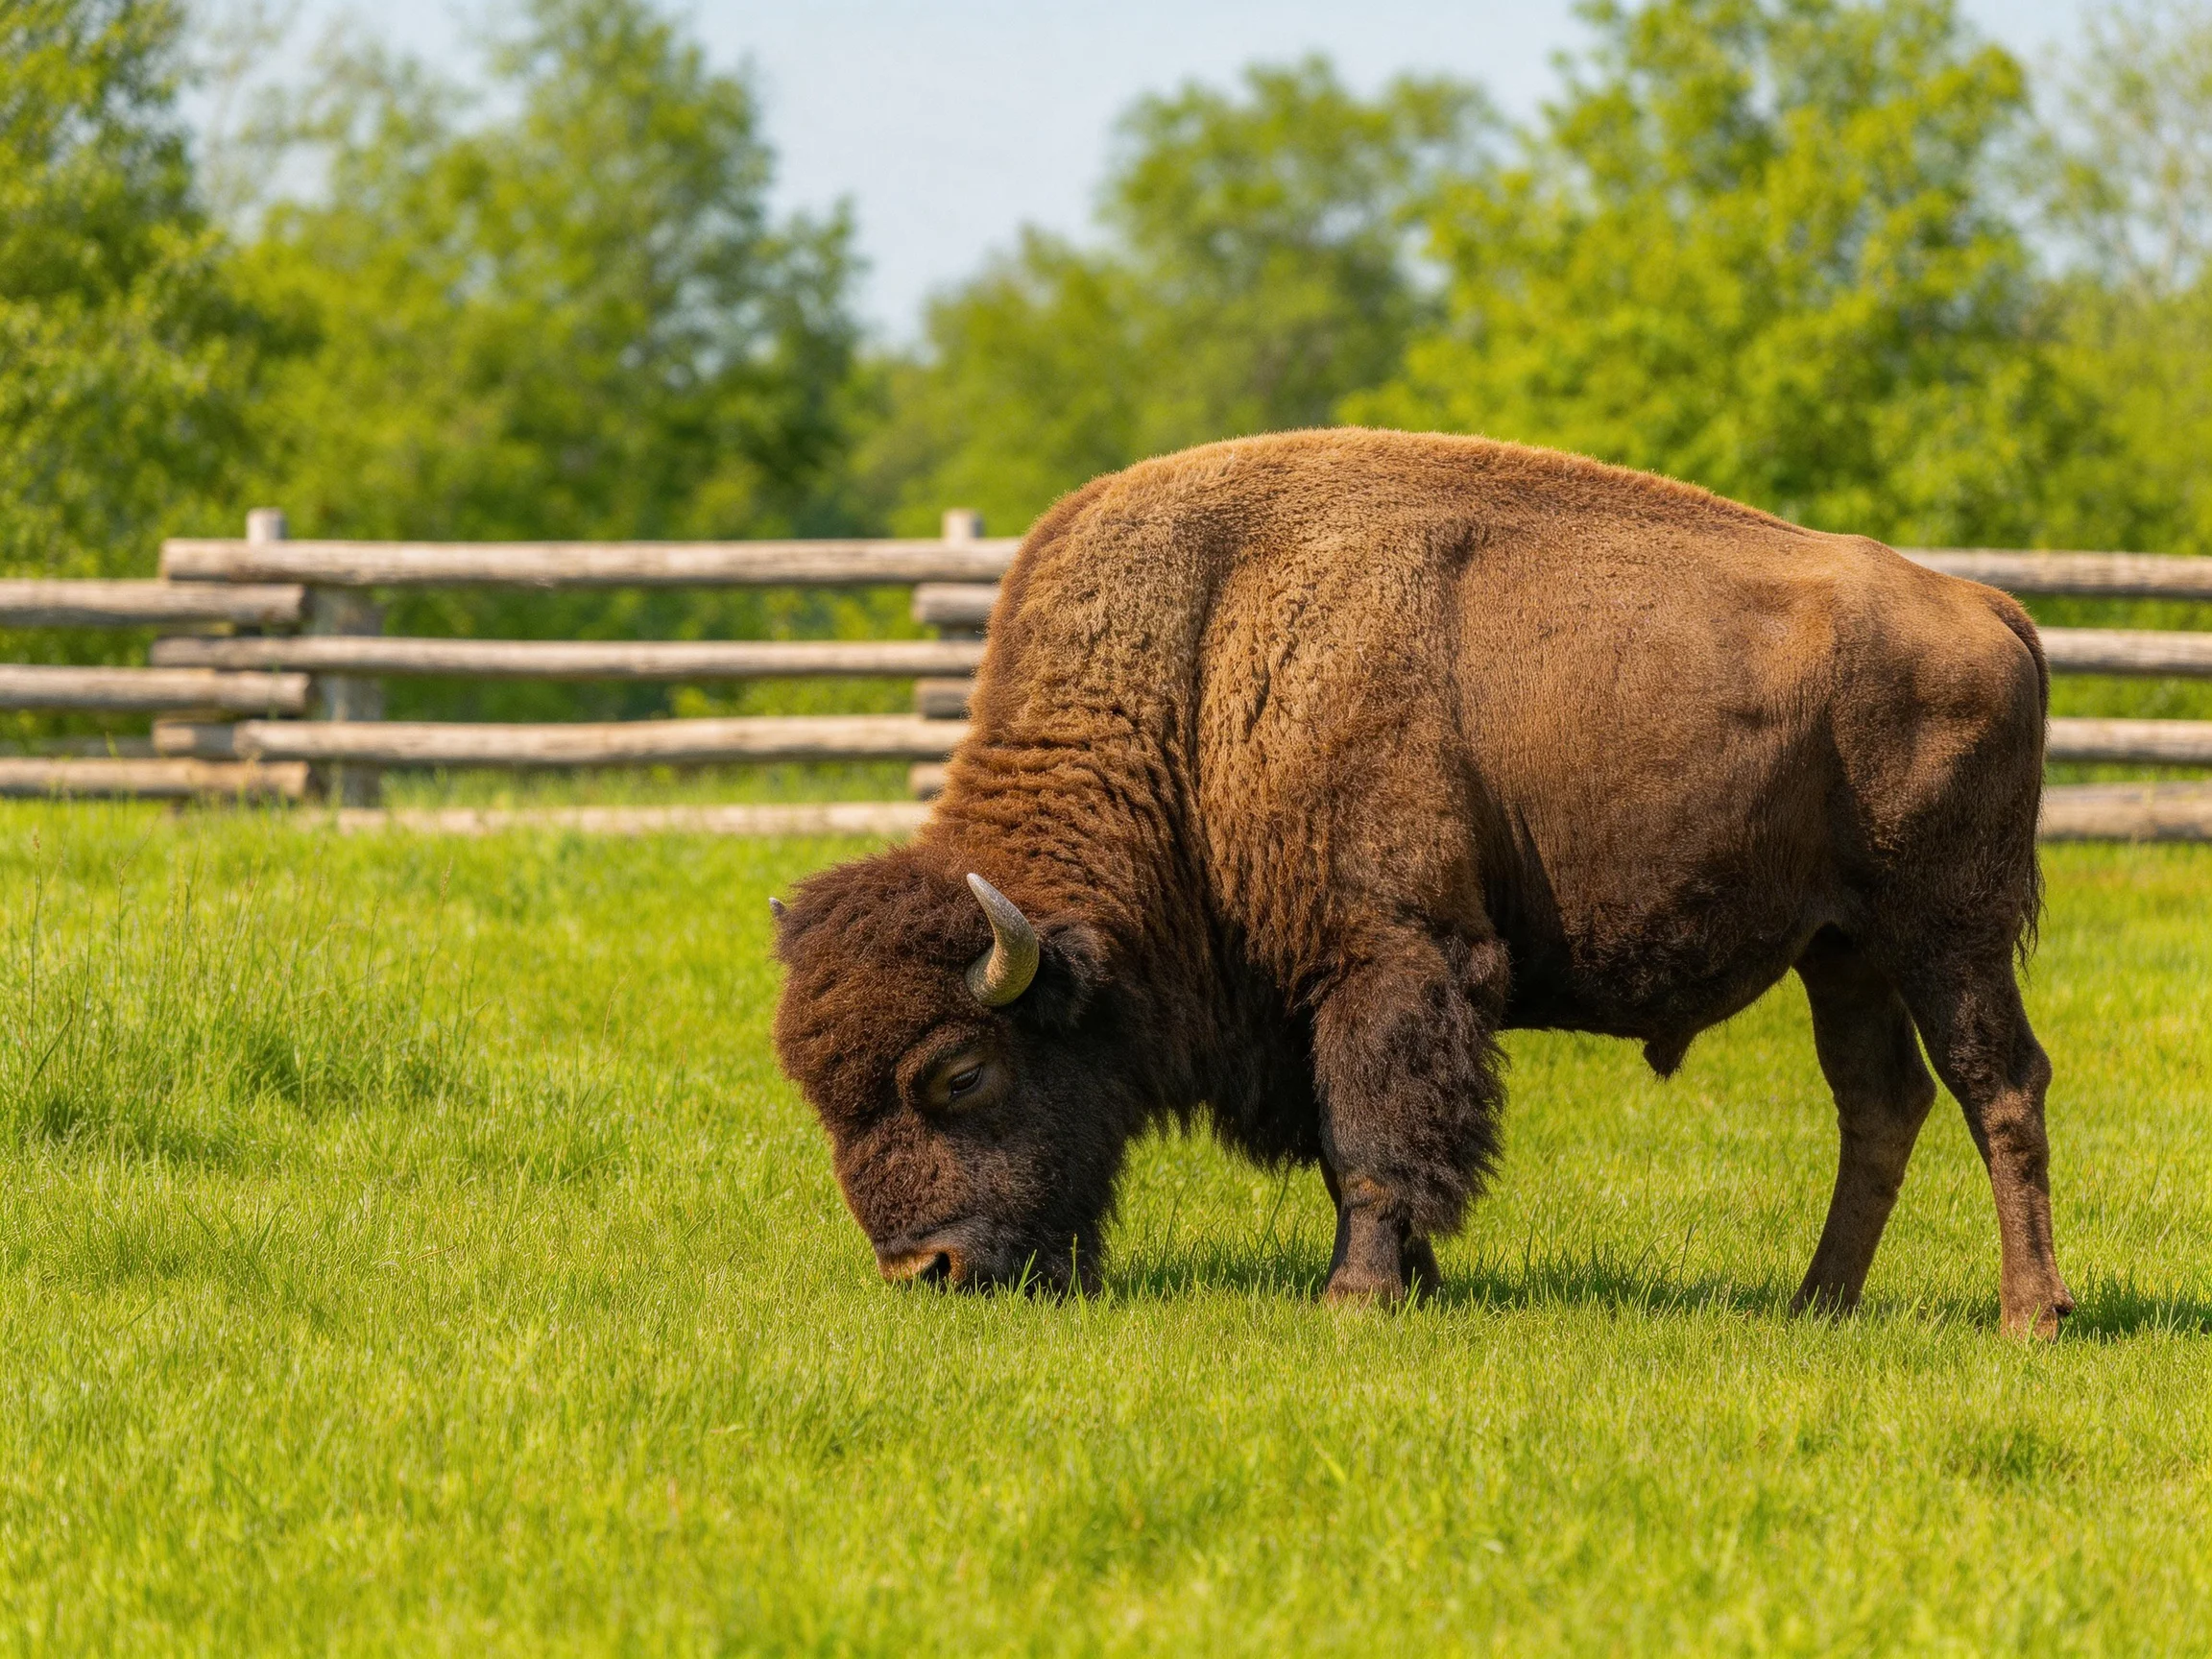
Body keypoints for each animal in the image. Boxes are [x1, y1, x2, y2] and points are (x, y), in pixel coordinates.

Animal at [772, 429, 2073, 1337]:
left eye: (960, 1073)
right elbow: (1351, 1135)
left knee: (1997, 1085)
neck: (1201, 675)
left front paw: (1354, 1299)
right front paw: (1418, 1284)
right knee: (1880, 1104)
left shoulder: (1389, 956)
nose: (927, 1270)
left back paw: (2030, 1319)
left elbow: (1371, 1135)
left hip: (1944, 930)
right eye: (816, 1092)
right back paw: (1818, 1304)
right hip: (1841, 951)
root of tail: (1993, 610)